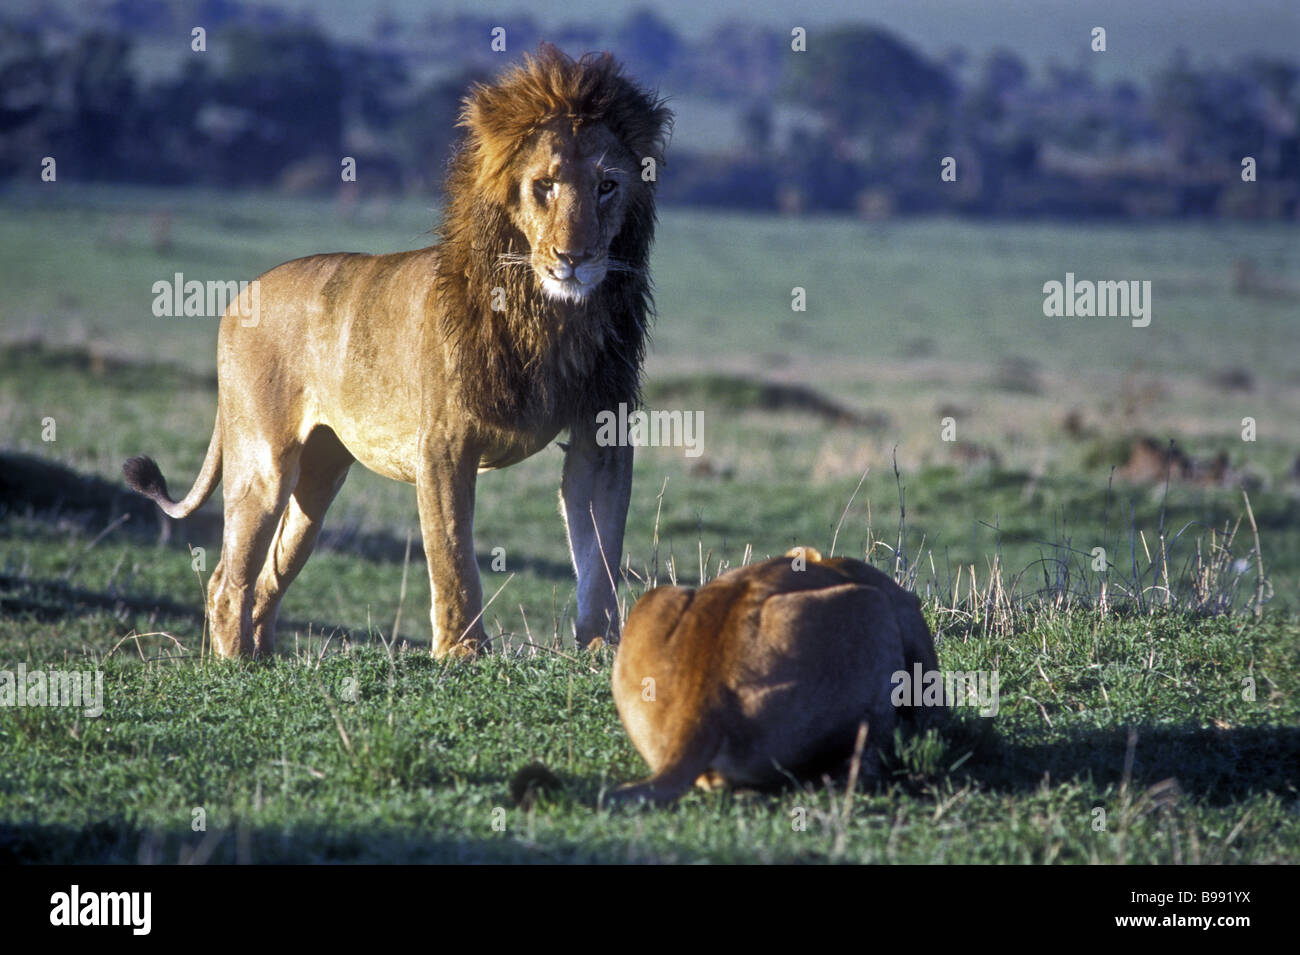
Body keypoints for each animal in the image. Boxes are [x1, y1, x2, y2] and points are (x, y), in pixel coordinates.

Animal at [124, 44, 670, 657]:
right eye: (545, 185)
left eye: (606, 187)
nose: (574, 258)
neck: (549, 316)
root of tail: (240, 295)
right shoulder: (444, 446)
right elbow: (453, 557)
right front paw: (462, 654)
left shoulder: (602, 435)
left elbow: (600, 553)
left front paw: (604, 648)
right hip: (263, 462)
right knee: (227, 578)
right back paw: (234, 664)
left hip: (319, 477)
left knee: (269, 575)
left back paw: (264, 660)